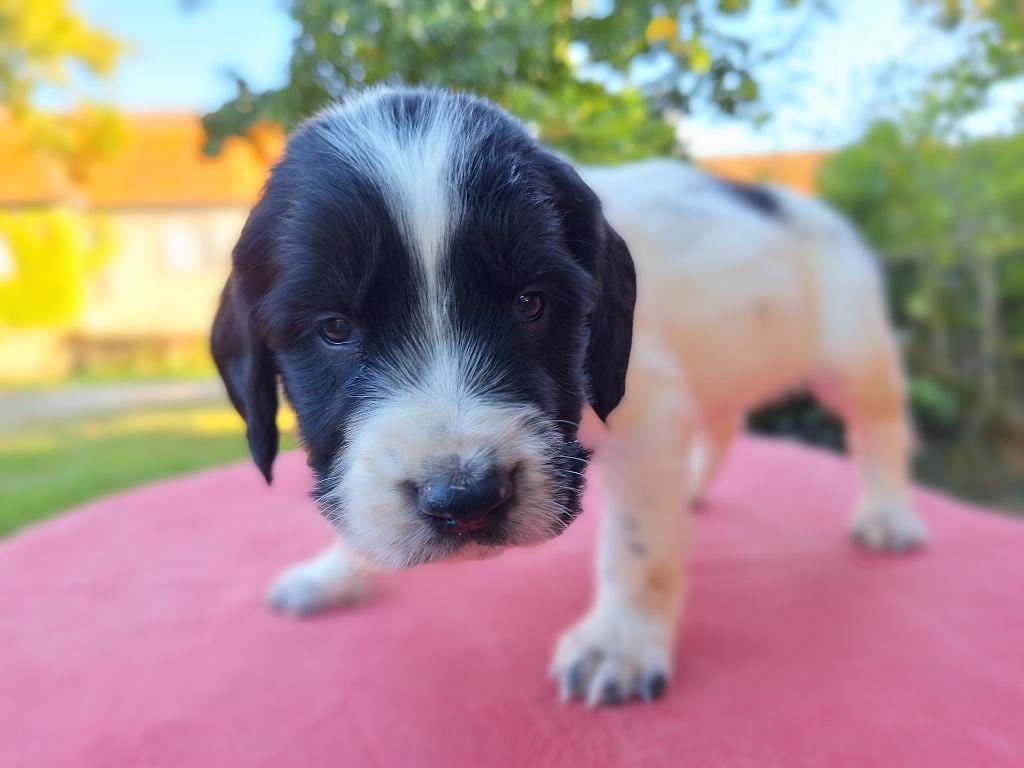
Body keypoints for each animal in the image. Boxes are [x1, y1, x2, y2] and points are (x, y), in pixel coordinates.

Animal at [209, 85, 929, 708]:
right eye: (334, 328)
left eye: (532, 304)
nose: (466, 501)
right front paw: (335, 572)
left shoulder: (649, 418)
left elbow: (639, 545)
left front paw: (621, 642)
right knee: (724, 423)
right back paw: (696, 486)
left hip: (853, 354)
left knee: (881, 426)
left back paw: (887, 512)